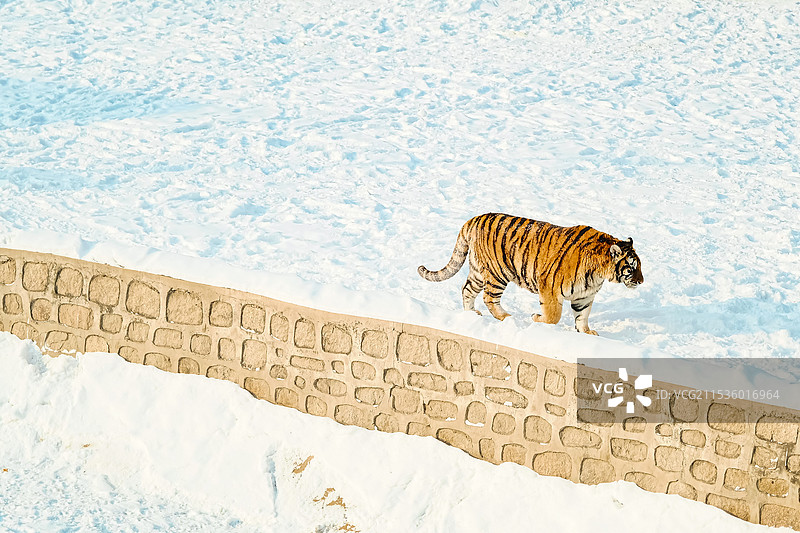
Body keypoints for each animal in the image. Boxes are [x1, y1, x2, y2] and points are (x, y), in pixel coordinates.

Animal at [418, 213, 644, 335]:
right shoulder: (550, 287)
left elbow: (582, 316)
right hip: (497, 274)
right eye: (632, 267)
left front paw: (586, 333)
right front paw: (536, 318)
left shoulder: (585, 296)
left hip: (479, 272)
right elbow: (553, 316)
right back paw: (506, 317)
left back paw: (470, 314)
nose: (641, 281)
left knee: (467, 290)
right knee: (489, 298)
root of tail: (474, 219)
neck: (598, 274)